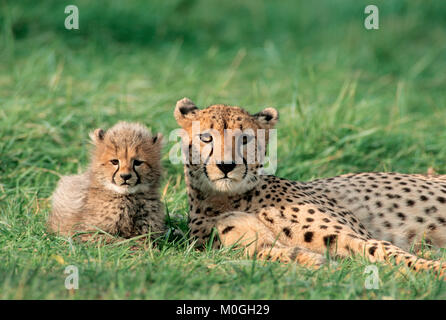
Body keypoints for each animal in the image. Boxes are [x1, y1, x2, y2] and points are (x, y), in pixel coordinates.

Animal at [173, 97, 446, 278]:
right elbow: (268, 253)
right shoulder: (238, 246)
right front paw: (312, 261)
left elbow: (385, 250)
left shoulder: (354, 236)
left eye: (245, 139)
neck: (229, 199)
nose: (226, 166)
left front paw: (435, 268)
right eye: (206, 137)